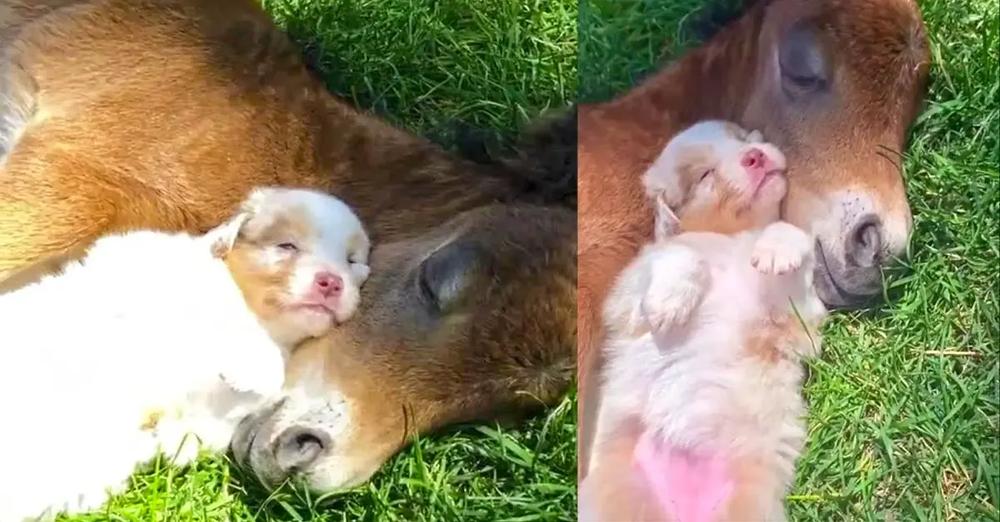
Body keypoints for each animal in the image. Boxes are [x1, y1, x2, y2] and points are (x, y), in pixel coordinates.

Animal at [0, 187, 372, 520]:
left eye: (351, 261)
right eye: (287, 246)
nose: (331, 282)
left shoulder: (218, 417)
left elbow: (197, 430)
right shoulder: (147, 262)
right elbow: (213, 300)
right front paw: (254, 361)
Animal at [584, 121, 824, 520]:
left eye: (743, 138)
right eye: (705, 175)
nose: (754, 155)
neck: (728, 237)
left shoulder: (798, 316)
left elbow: (788, 235)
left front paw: (776, 248)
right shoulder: (628, 292)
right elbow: (680, 254)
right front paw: (671, 301)